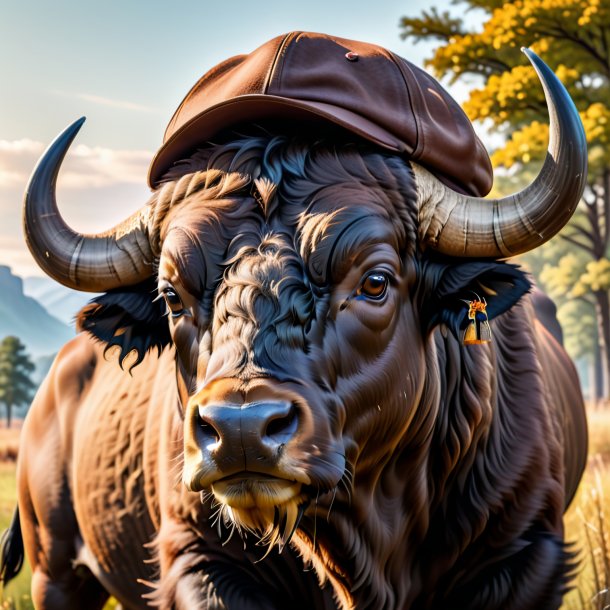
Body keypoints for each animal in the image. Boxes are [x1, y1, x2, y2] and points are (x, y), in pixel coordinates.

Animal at [0, 34, 588, 608]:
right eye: (171, 296)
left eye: (375, 281)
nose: (240, 431)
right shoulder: (199, 561)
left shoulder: (525, 553)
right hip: (54, 569)